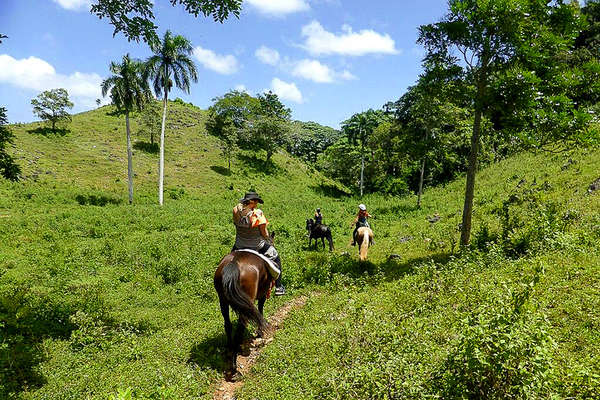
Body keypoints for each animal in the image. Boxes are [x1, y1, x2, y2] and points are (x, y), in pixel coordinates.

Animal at [213, 244, 274, 382]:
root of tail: (234, 262)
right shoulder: (263, 293)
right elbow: (260, 309)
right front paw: (260, 332)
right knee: (240, 329)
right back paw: (234, 368)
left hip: (222, 299)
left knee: (228, 325)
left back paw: (230, 352)